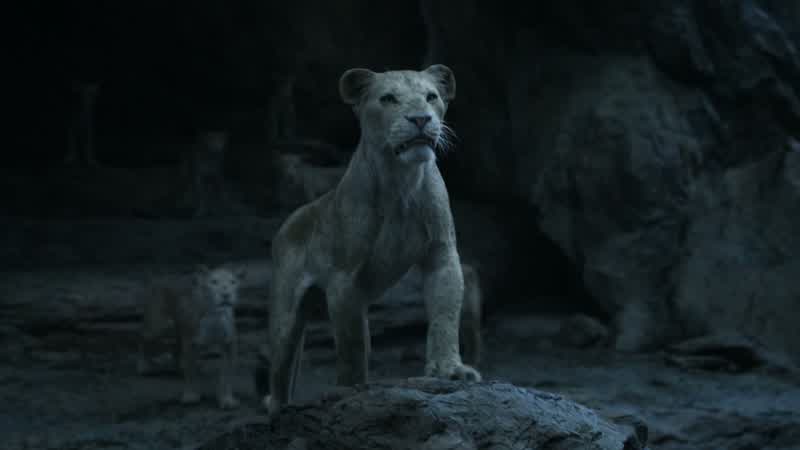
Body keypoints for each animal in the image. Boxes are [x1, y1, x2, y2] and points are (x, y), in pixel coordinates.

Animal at [137, 264, 245, 409]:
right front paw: (191, 395)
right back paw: (143, 366)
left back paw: (179, 367)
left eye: (233, 282)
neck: (215, 315)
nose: (226, 295)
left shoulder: (229, 345)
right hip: (159, 326)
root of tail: (162, 276)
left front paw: (227, 399)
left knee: (175, 347)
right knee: (143, 338)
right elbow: (191, 372)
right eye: (214, 282)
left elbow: (226, 375)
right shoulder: (190, 343)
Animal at [262, 64, 481, 415]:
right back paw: (280, 411)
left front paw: (450, 370)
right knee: (279, 373)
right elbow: (352, 346)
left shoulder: (441, 254)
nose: (421, 119)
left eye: (431, 97)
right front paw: (352, 391)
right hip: (285, 317)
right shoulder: (344, 279)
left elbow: (445, 315)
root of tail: (290, 220)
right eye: (388, 98)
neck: (401, 181)